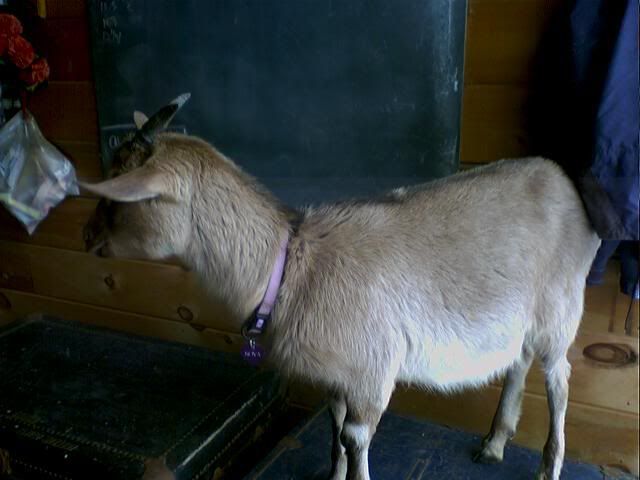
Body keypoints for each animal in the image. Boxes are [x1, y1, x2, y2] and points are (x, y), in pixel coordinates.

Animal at [81, 97, 600, 480]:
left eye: (119, 193)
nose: (86, 237)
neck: (294, 267)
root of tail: (565, 185)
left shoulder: (374, 368)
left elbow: (355, 438)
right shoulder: (338, 375)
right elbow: (335, 428)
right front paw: (334, 475)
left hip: (561, 306)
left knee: (559, 377)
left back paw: (548, 467)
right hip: (523, 315)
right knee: (519, 358)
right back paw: (493, 443)